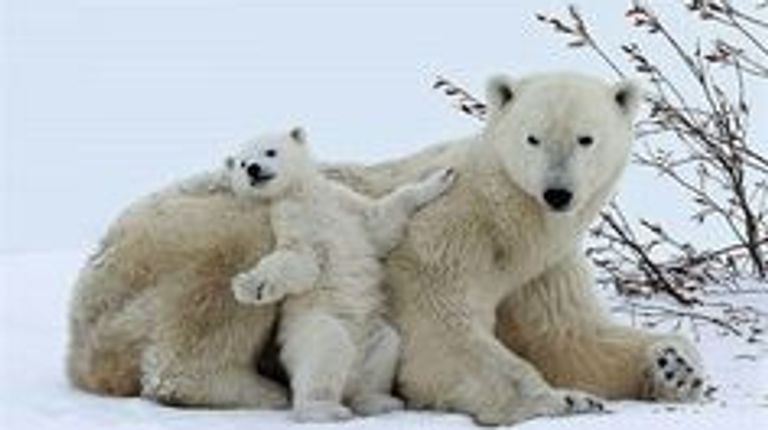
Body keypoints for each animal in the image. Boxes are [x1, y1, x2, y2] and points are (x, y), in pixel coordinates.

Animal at [222, 127, 452, 420]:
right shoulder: (291, 222)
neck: (303, 195)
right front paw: (250, 286)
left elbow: (379, 222)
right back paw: (325, 408)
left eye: (270, 151)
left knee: (385, 348)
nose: (253, 169)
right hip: (311, 327)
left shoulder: (343, 202)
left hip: (372, 333)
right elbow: (299, 261)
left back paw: (378, 401)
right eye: (241, 163)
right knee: (326, 350)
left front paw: (442, 176)